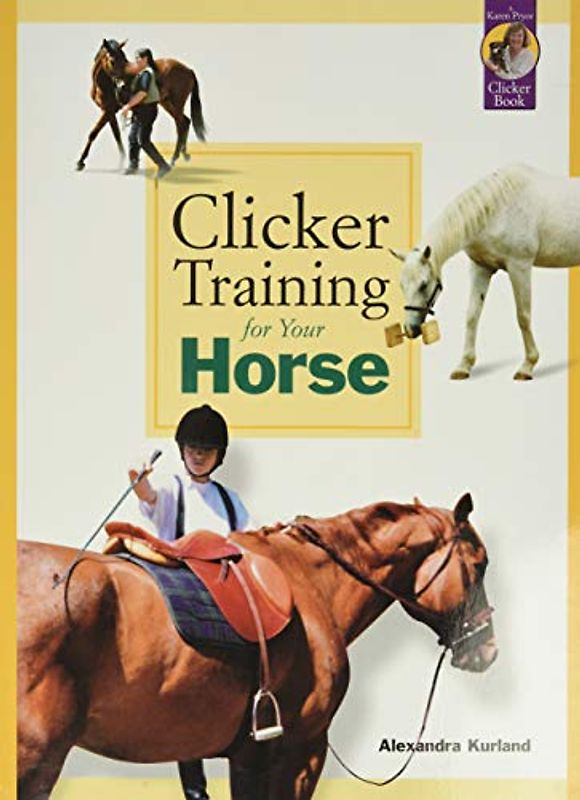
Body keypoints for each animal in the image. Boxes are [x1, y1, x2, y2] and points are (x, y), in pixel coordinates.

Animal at [77, 39, 206, 171]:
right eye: (113, 61)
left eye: (124, 58)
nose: (123, 84)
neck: (104, 84)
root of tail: (188, 70)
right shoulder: (108, 111)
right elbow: (116, 135)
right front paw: (123, 160)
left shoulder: (108, 110)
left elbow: (93, 133)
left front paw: (80, 162)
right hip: (167, 103)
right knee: (185, 122)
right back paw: (184, 154)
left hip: (177, 104)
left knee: (181, 125)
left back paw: (174, 159)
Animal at [391, 164, 580, 380]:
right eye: (402, 285)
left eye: (423, 284)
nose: (410, 329)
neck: (498, 208)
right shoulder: (481, 268)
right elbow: (472, 315)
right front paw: (464, 365)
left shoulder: (520, 266)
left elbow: (523, 316)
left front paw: (527, 366)